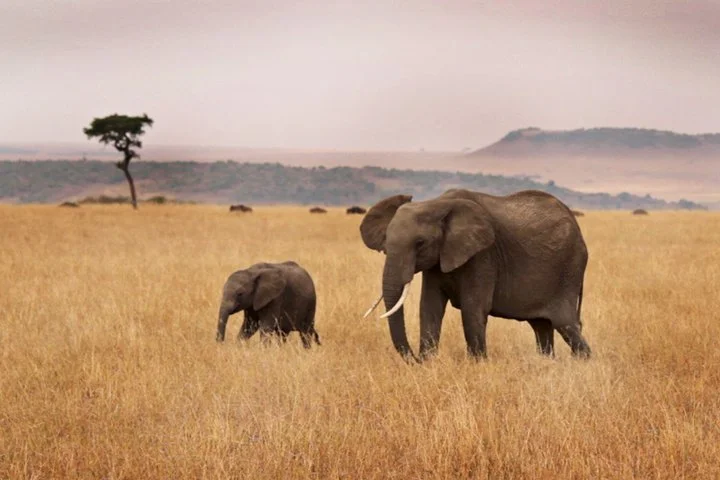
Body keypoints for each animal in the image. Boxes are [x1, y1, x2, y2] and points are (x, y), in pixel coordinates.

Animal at [360, 189, 591, 362]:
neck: (437, 204)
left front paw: (477, 364)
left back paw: (583, 363)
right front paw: (428, 364)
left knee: (566, 325)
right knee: (542, 327)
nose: (415, 359)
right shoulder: (438, 259)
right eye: (386, 241)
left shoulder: (483, 255)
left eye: (420, 243)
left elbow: (473, 309)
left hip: (569, 269)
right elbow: (429, 307)